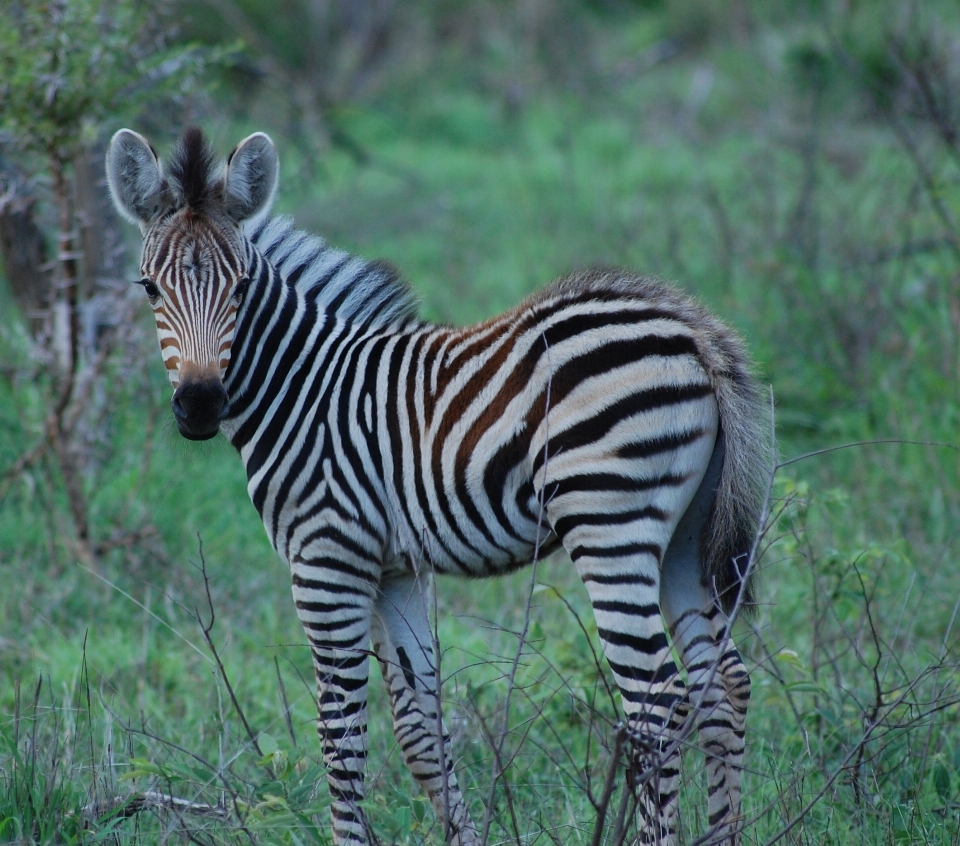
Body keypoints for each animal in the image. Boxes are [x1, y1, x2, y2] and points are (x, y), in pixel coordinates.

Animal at [107, 127, 772, 846]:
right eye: (149, 288)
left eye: (241, 287)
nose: (200, 406)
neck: (304, 389)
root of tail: (691, 328)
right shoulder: (395, 569)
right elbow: (420, 729)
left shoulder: (327, 559)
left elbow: (340, 732)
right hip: (686, 533)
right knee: (723, 683)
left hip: (609, 524)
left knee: (657, 700)